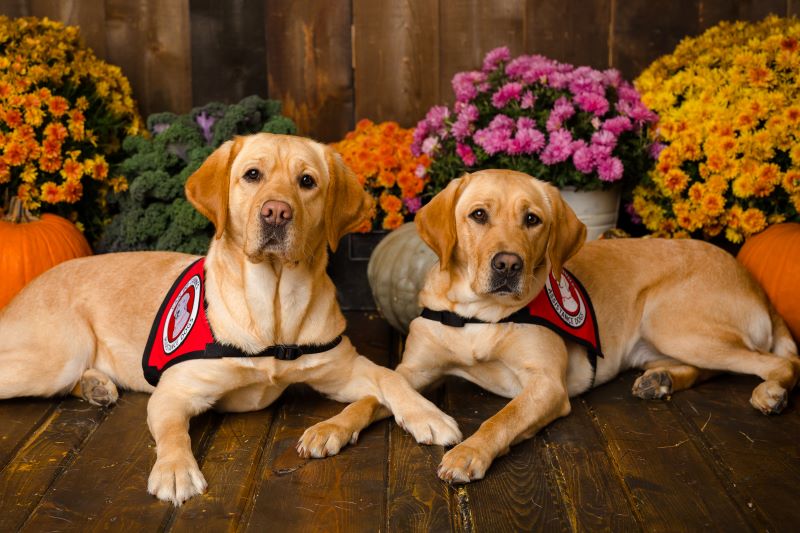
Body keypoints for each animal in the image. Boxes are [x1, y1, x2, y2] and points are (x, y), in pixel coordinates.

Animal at [0, 133, 460, 502]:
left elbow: (390, 378)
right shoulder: (174, 392)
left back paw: (97, 386)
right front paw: (175, 471)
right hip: (58, 357)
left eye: (307, 181)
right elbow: (173, 433)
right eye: (252, 175)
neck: (273, 309)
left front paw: (428, 416)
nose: (276, 212)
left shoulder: (343, 370)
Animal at [304, 169, 796, 482]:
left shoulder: (546, 384)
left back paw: (769, 393)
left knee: (775, 363)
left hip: (672, 320)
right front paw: (331, 427)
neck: (480, 314)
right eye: (478, 215)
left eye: (532, 220)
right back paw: (661, 380)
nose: (508, 264)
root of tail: (751, 281)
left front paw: (469, 453)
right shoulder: (415, 371)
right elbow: (374, 395)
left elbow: (501, 419)